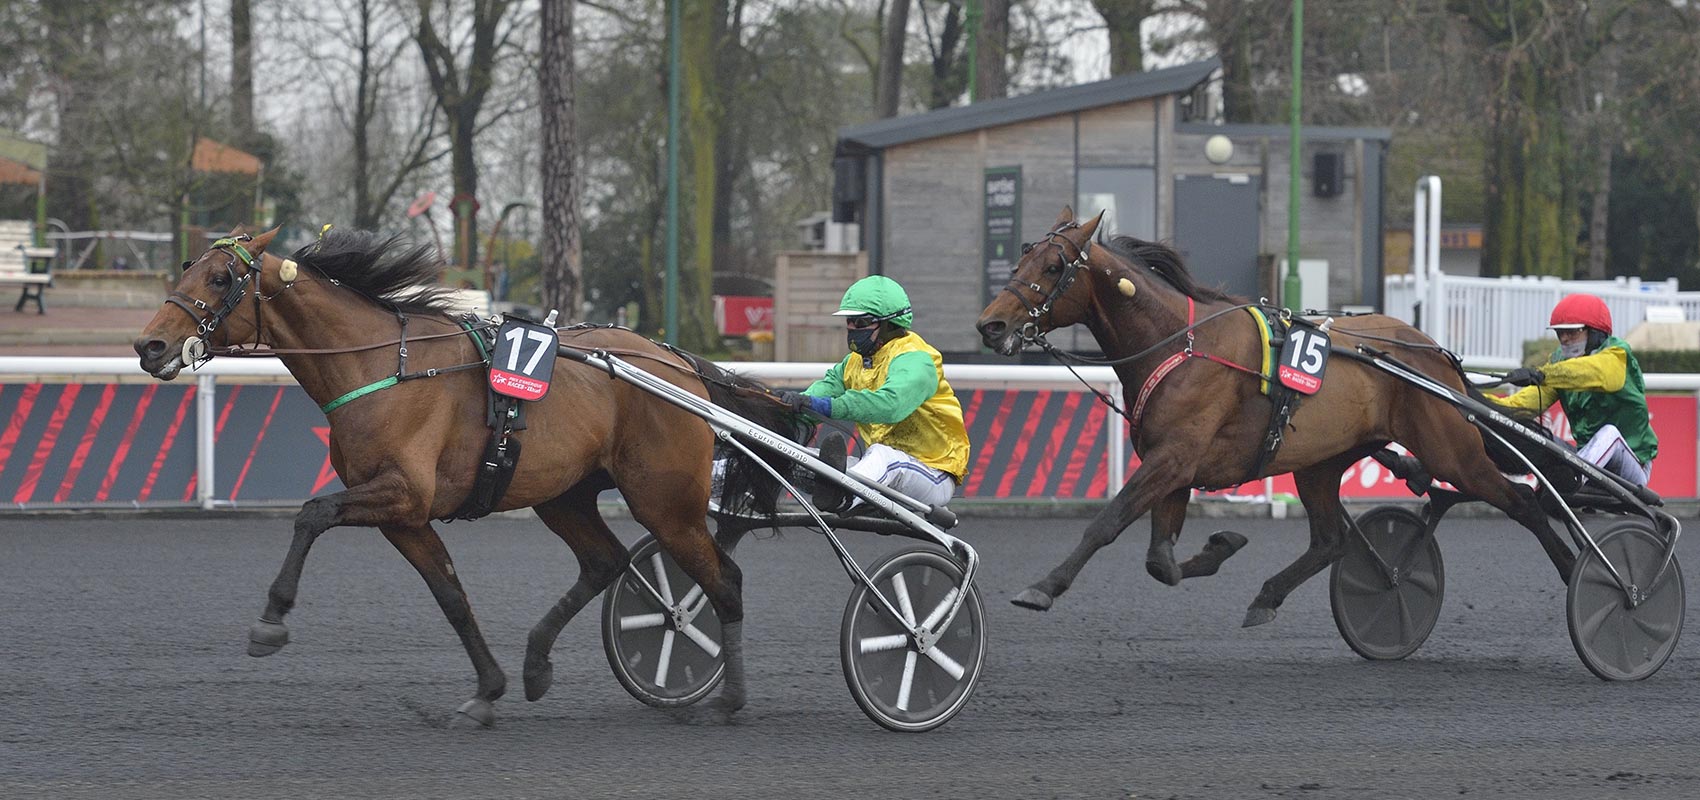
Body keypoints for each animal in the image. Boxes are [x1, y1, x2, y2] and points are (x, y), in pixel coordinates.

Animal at [136, 230, 792, 726]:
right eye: (189, 267)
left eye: (221, 279)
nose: (150, 344)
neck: (384, 367)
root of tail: (681, 364)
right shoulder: (403, 515)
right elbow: (450, 595)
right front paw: (487, 691)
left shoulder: (402, 492)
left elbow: (312, 512)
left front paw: (271, 622)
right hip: (565, 495)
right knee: (605, 562)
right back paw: (535, 664)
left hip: (665, 501)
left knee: (723, 580)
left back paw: (728, 697)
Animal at [972, 206, 1564, 625]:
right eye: (1020, 259)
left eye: (1052, 267)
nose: (990, 326)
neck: (1183, 344)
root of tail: (1438, 353)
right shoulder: (1174, 466)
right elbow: (1160, 560)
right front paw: (1220, 547)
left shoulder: (1173, 458)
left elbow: (1108, 522)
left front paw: (1042, 588)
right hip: (1321, 461)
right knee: (1330, 540)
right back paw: (1269, 595)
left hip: (1452, 452)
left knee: (1526, 503)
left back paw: (1577, 575)